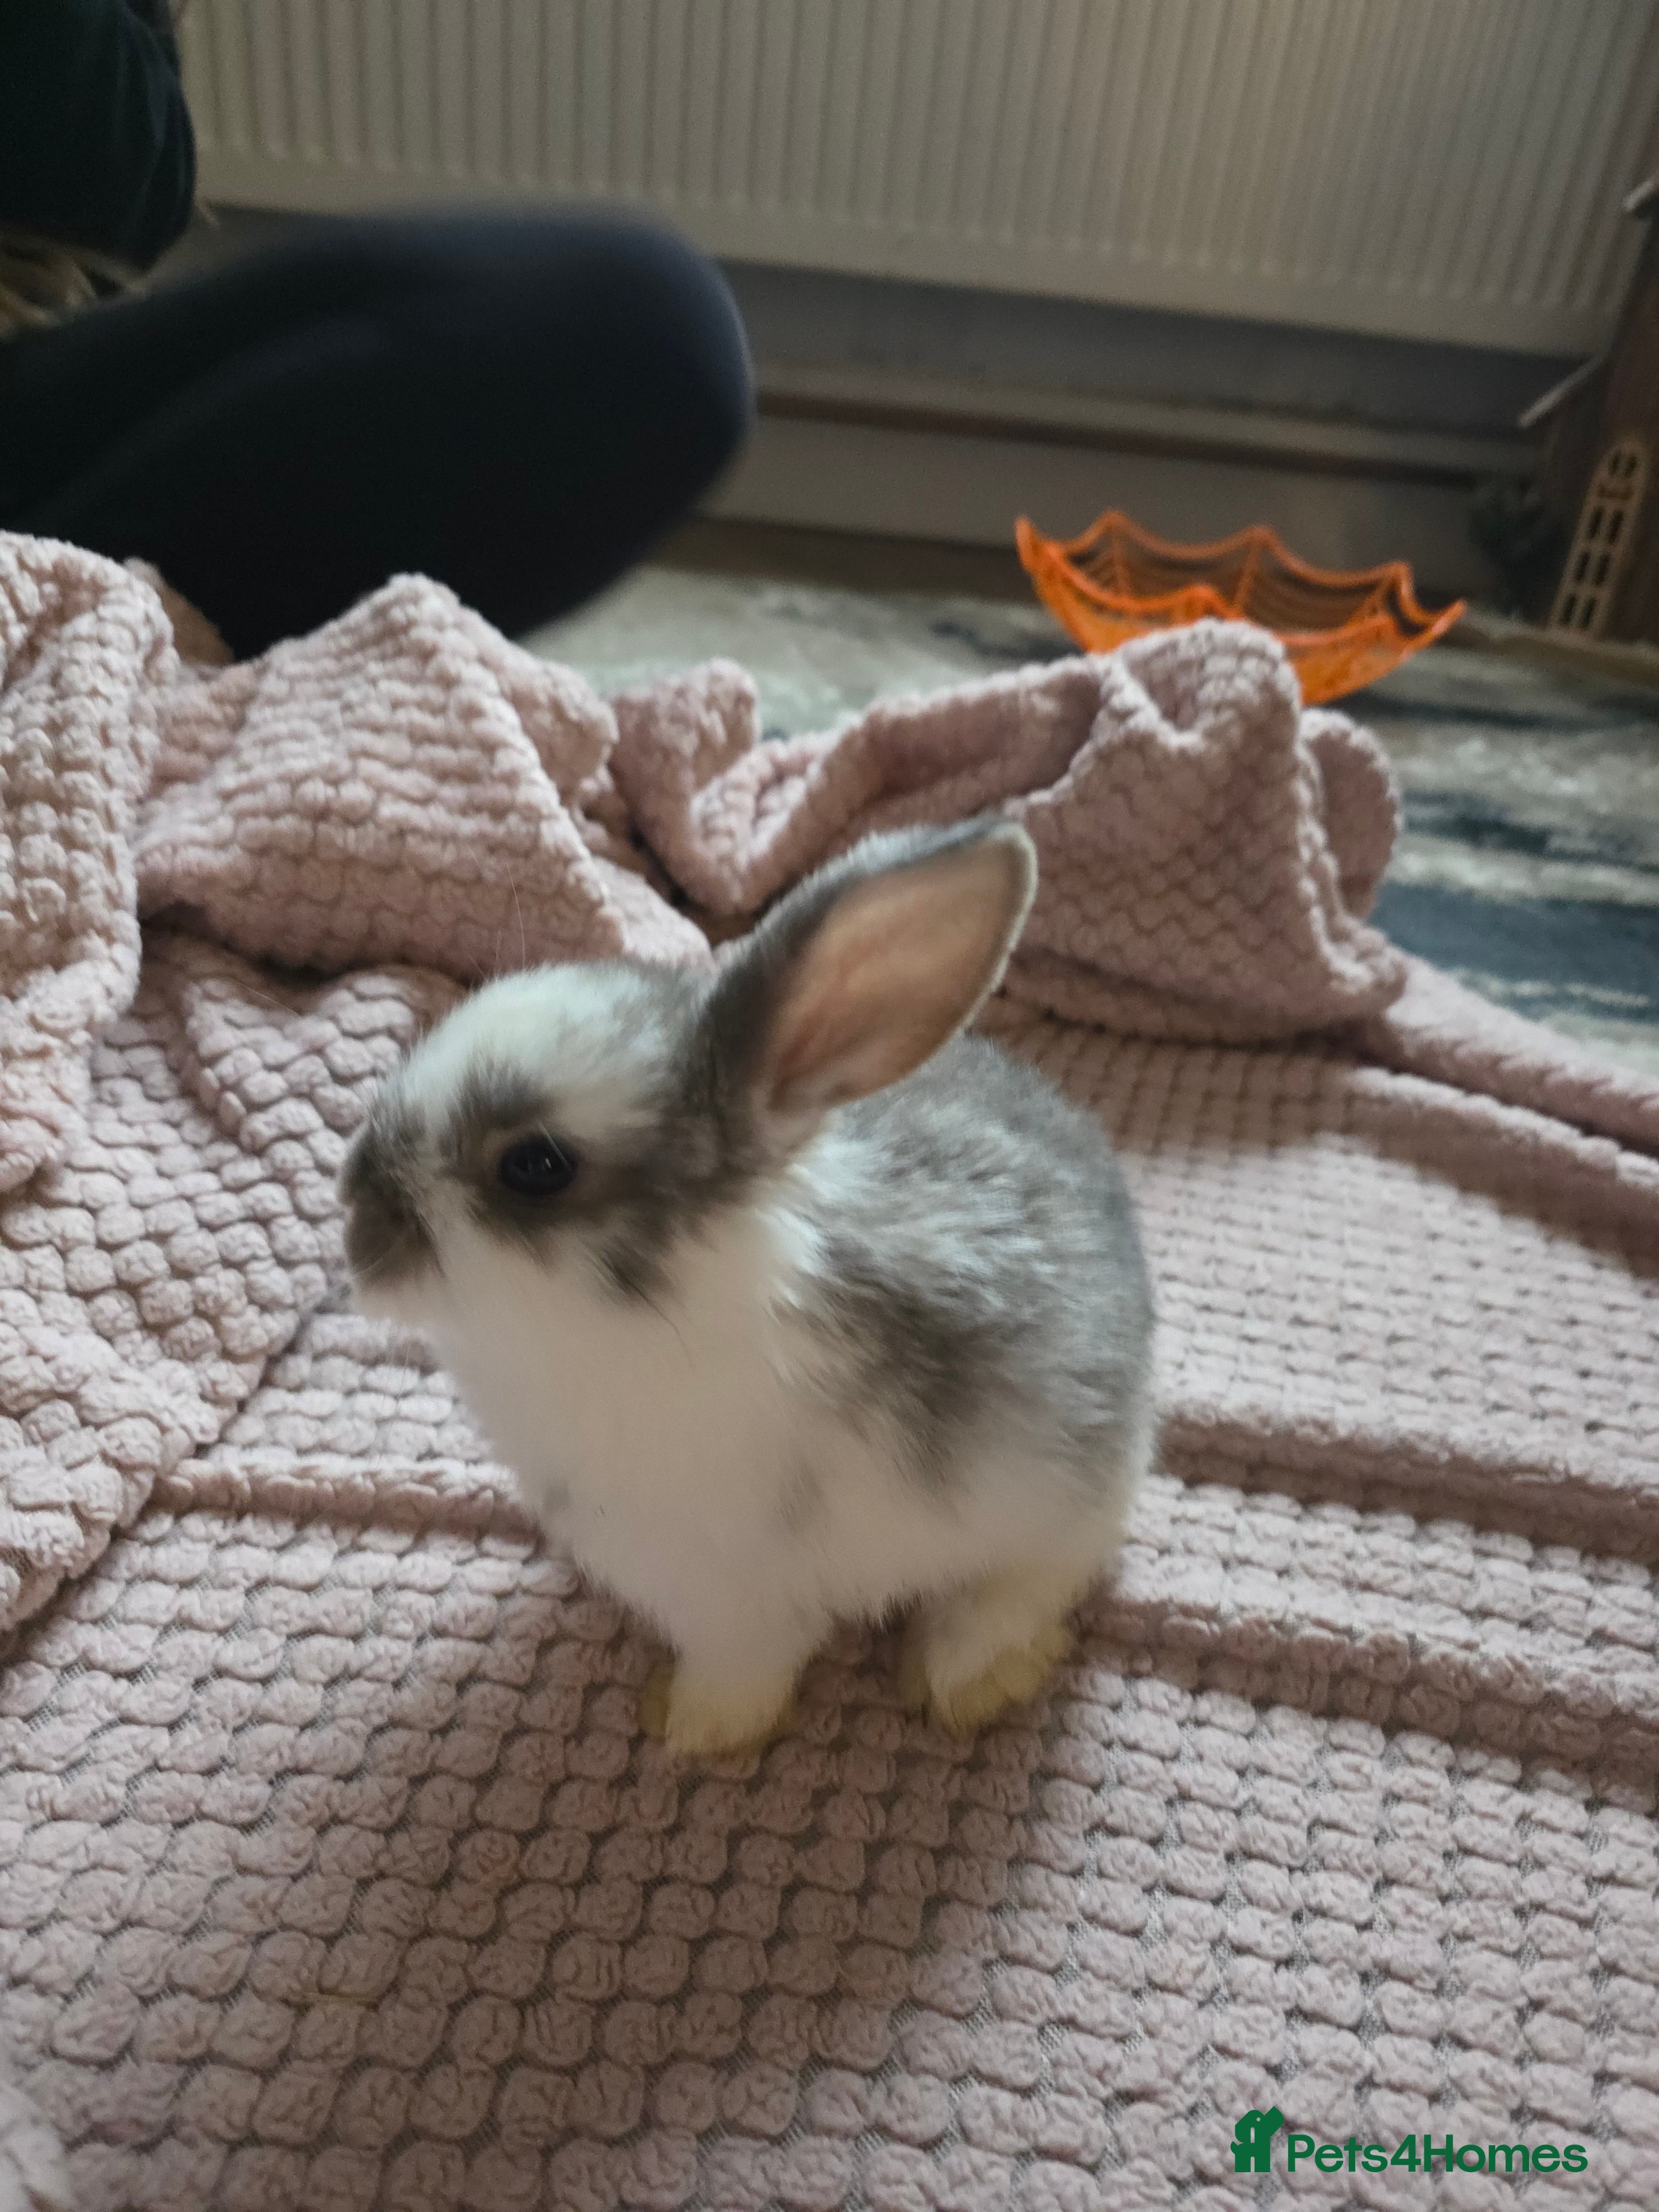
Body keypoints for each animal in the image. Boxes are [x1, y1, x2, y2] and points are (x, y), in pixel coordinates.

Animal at [340, 819, 1155, 1758]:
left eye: (535, 1167)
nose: (355, 1213)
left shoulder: (741, 1593)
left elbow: (763, 1665)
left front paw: (691, 1729)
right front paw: (689, 1722)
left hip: (1079, 1481)